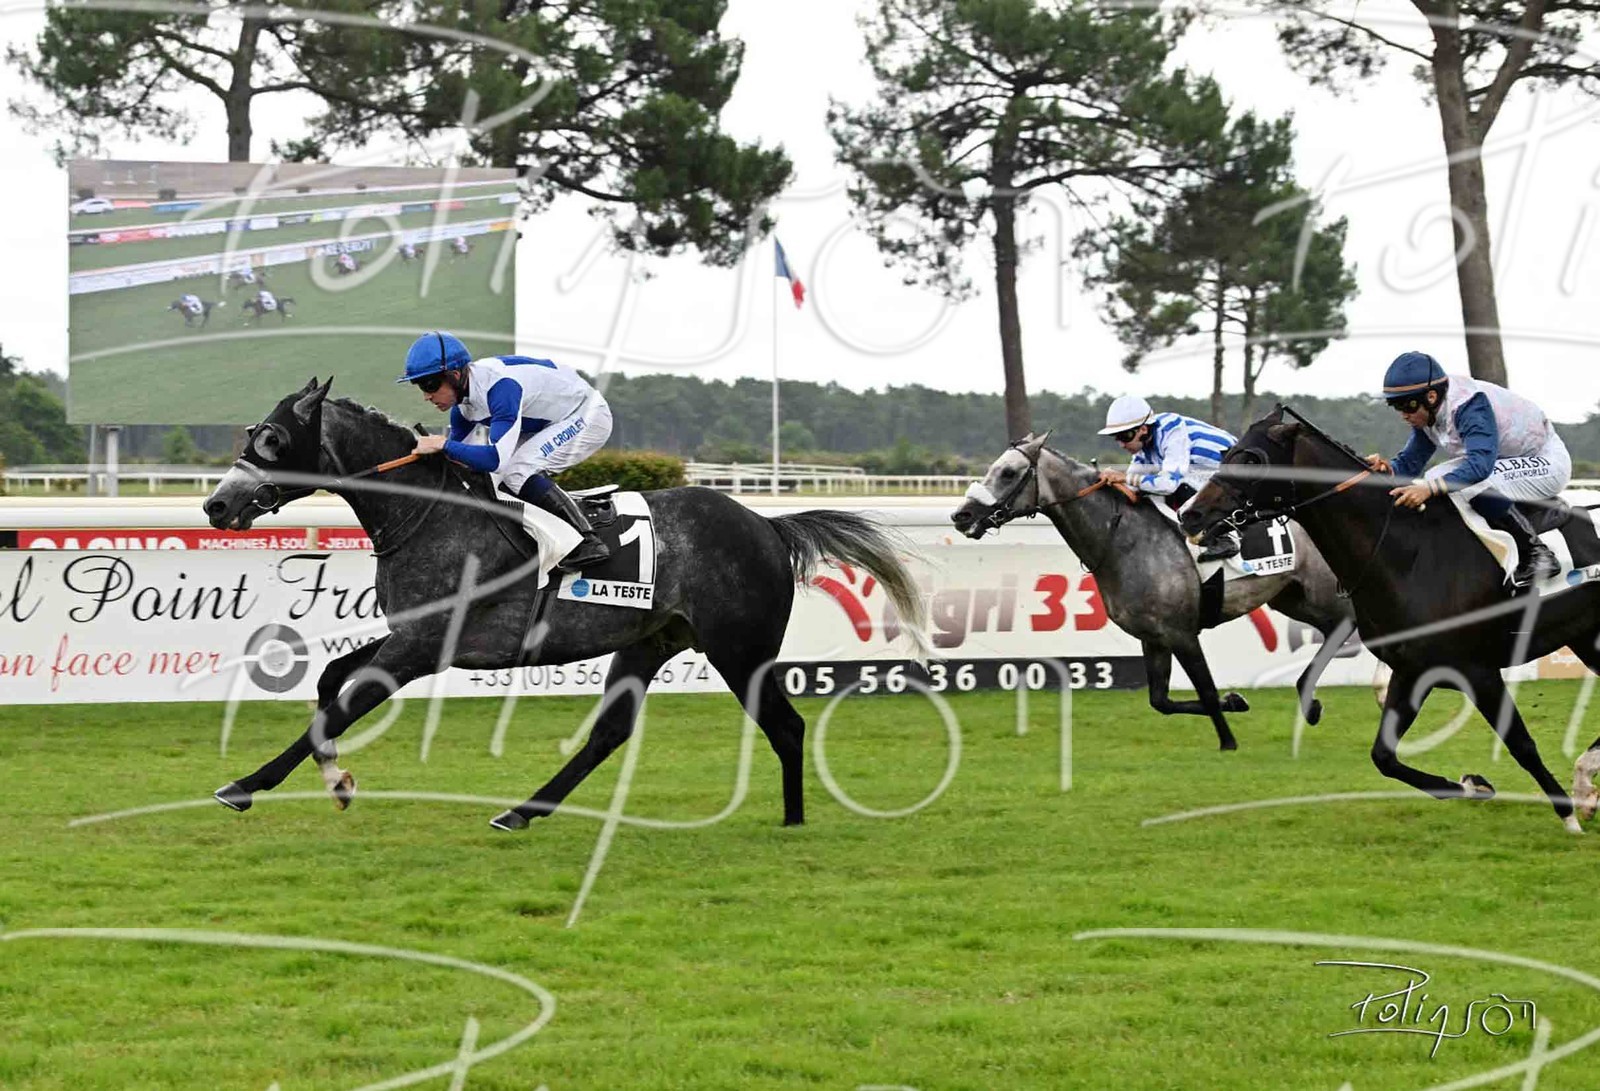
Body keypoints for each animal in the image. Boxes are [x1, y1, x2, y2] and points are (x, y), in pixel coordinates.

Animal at [202, 378, 929, 830]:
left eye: (273, 439)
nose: (217, 503)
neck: (430, 512)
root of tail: (768, 526)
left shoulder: (423, 647)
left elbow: (338, 708)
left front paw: (247, 785)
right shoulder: (411, 634)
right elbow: (329, 681)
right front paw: (336, 779)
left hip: (739, 649)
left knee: (787, 726)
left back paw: (793, 819)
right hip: (650, 641)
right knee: (612, 732)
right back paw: (522, 811)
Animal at [950, 433, 1358, 750]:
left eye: (1007, 472)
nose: (961, 516)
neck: (1125, 541)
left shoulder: (1182, 632)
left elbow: (1206, 690)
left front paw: (1228, 742)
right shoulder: (1153, 636)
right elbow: (1160, 700)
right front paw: (1236, 701)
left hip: (1320, 593)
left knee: (1348, 624)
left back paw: (1309, 695)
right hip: (1293, 598)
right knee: (1337, 628)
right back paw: (1310, 699)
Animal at [1179, 404, 1600, 832]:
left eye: (1252, 459)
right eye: (1228, 452)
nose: (1190, 513)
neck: (1408, 553)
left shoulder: (1477, 670)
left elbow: (1521, 743)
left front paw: (1567, 815)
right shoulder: (1411, 670)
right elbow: (1384, 757)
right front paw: (1473, 786)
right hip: (1587, 637)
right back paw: (1585, 782)